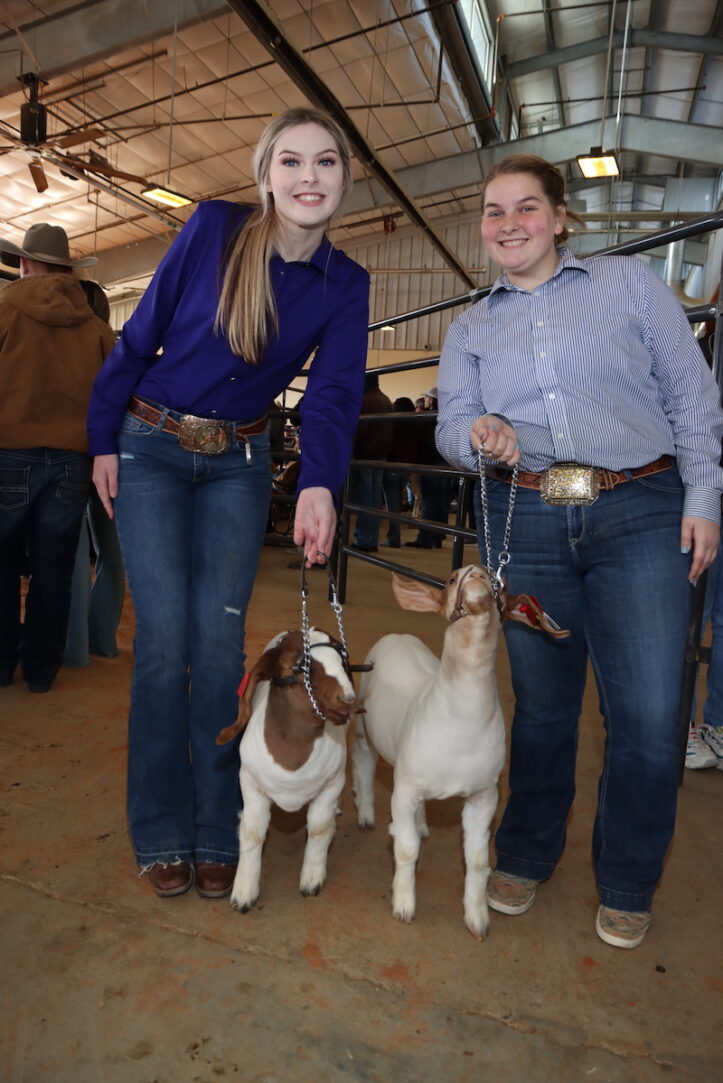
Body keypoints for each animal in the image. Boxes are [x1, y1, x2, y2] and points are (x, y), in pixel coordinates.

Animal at [217, 628, 359, 914]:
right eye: (299, 666)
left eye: (342, 659)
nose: (348, 699)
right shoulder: (250, 784)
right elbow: (252, 832)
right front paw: (244, 893)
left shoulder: (330, 785)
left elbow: (319, 828)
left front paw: (311, 879)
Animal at [352, 567, 567, 940]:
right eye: (451, 580)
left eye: (501, 585)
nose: (476, 572)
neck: (460, 725)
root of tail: (397, 634)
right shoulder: (404, 789)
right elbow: (405, 849)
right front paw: (404, 904)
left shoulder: (484, 796)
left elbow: (478, 861)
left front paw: (477, 918)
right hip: (367, 728)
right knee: (364, 763)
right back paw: (365, 813)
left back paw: (422, 825)